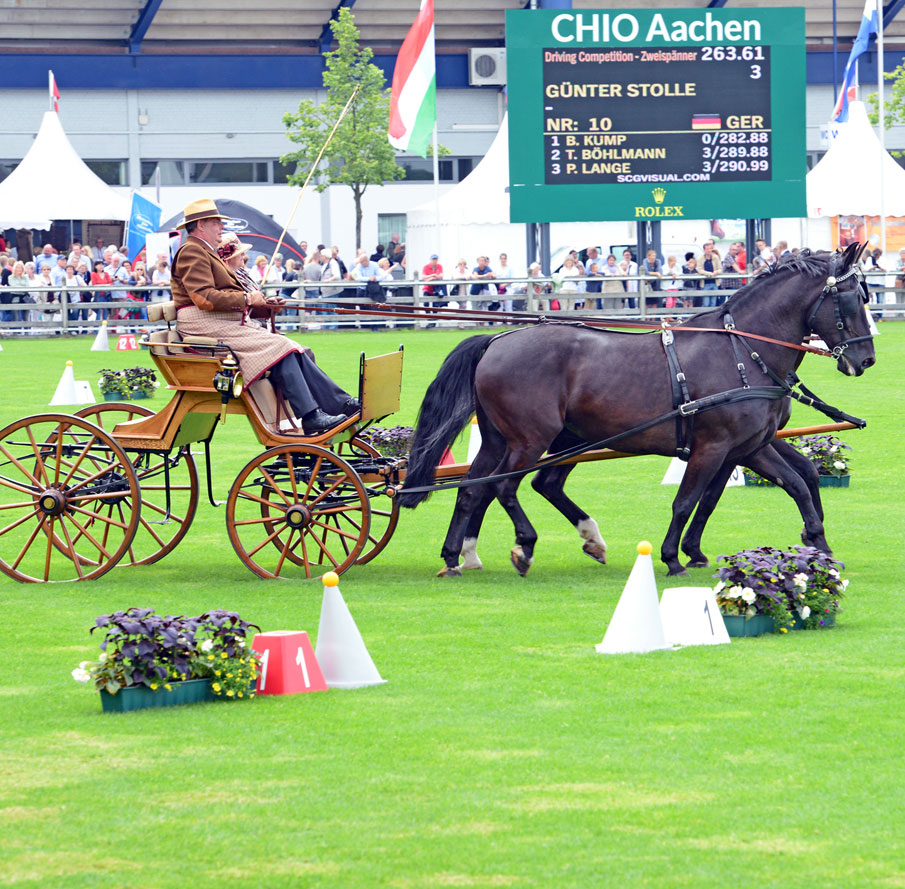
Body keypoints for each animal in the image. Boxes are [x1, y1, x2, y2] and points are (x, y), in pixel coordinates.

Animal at [400, 243, 872, 576]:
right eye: (853, 299)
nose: (865, 360)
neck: (743, 349)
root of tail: (497, 340)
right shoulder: (714, 446)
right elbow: (687, 501)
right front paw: (673, 557)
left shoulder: (750, 446)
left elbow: (792, 483)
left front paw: (818, 543)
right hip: (531, 440)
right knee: (505, 487)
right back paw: (525, 545)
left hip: (510, 439)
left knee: (477, 488)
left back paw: (460, 555)